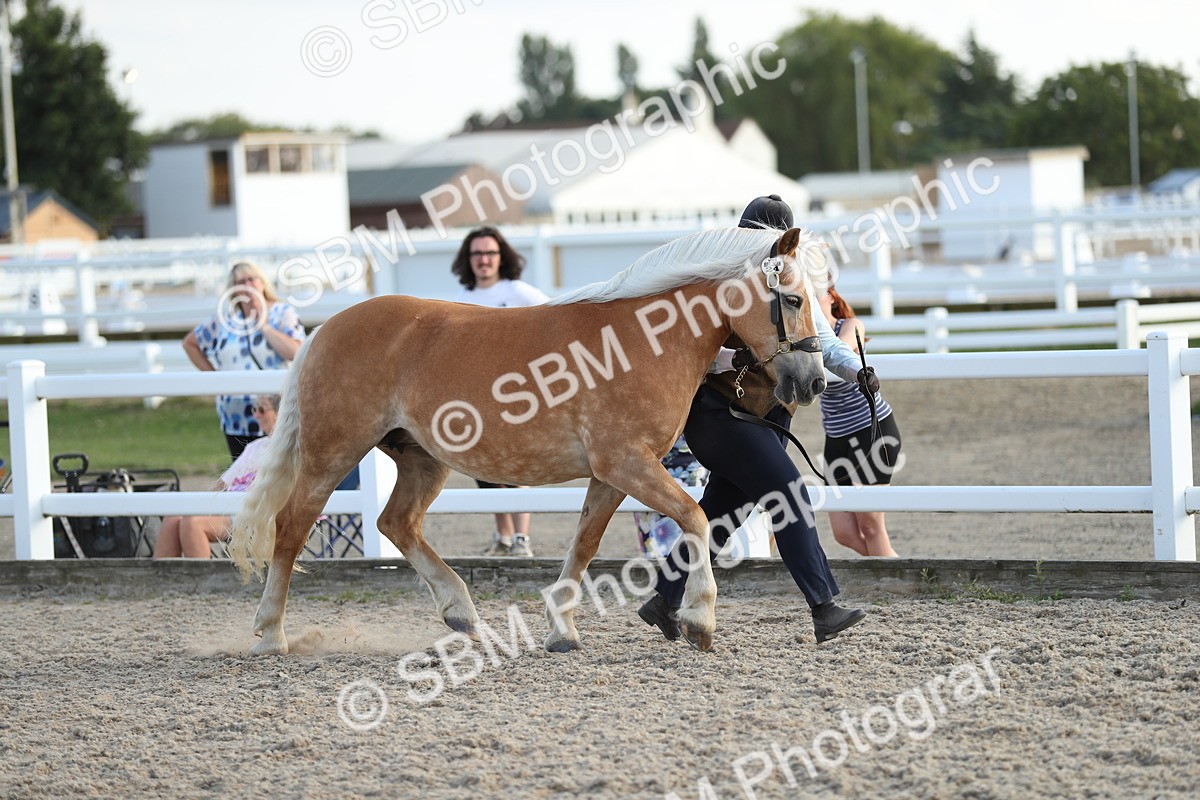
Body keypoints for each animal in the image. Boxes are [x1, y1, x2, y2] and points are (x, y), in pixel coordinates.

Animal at [227, 225, 829, 654]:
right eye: (794, 300)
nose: (815, 382)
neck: (644, 341)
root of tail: (324, 331)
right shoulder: (627, 464)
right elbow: (696, 518)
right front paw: (700, 620)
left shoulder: (612, 475)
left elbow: (585, 544)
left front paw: (561, 630)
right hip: (331, 454)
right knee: (291, 528)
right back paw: (271, 634)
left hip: (422, 460)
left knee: (396, 523)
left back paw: (461, 613)